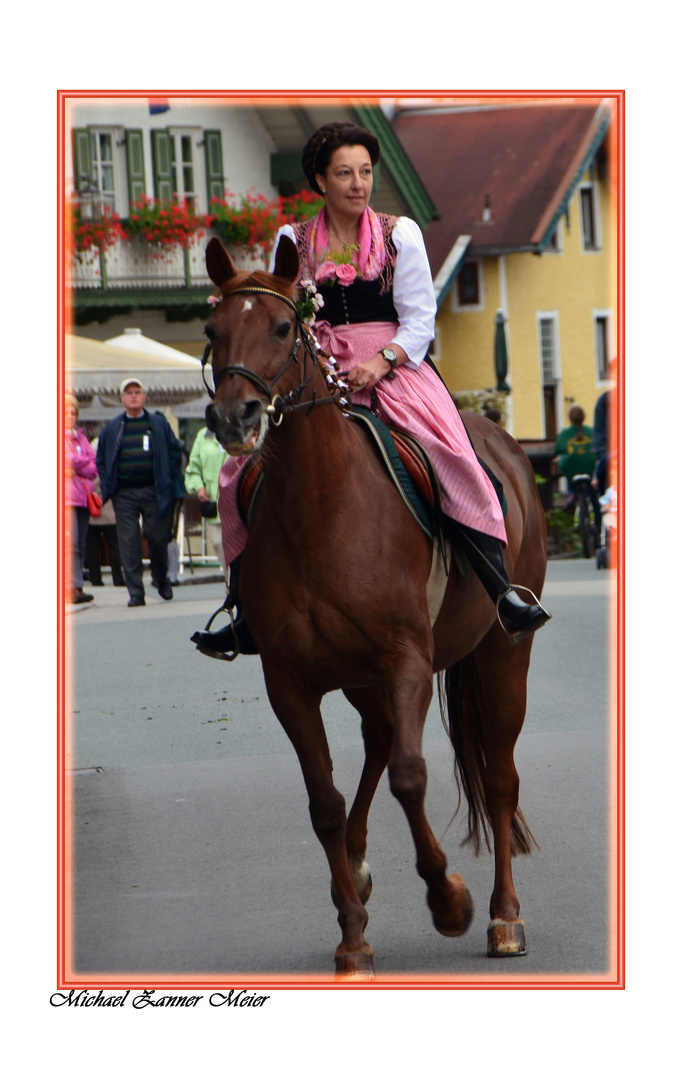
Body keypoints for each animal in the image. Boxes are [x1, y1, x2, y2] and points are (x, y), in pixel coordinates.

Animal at [199, 236, 546, 980]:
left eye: (283, 328)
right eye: (212, 330)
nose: (234, 419)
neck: (320, 508)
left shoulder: (405, 660)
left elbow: (412, 779)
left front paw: (448, 899)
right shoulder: (291, 683)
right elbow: (326, 803)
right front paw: (353, 936)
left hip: (504, 655)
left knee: (498, 777)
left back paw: (504, 916)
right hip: (360, 680)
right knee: (381, 746)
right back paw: (354, 873)